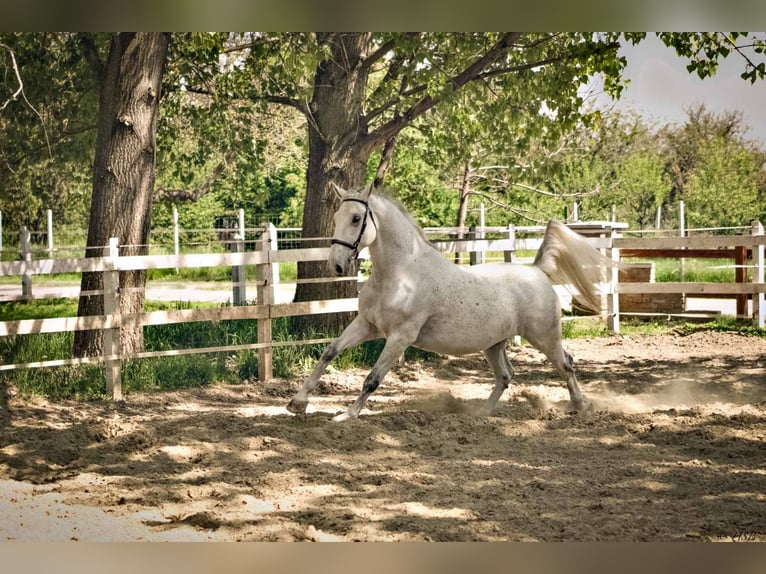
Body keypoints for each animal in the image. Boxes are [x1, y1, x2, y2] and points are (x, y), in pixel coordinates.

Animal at [292, 184, 616, 424]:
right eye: (337, 216)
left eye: (357, 218)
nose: (335, 265)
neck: (399, 274)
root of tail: (537, 271)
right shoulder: (366, 325)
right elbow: (329, 353)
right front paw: (297, 402)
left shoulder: (400, 336)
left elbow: (372, 379)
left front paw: (346, 415)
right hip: (494, 344)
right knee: (506, 376)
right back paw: (481, 414)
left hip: (544, 336)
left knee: (566, 364)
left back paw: (581, 405)